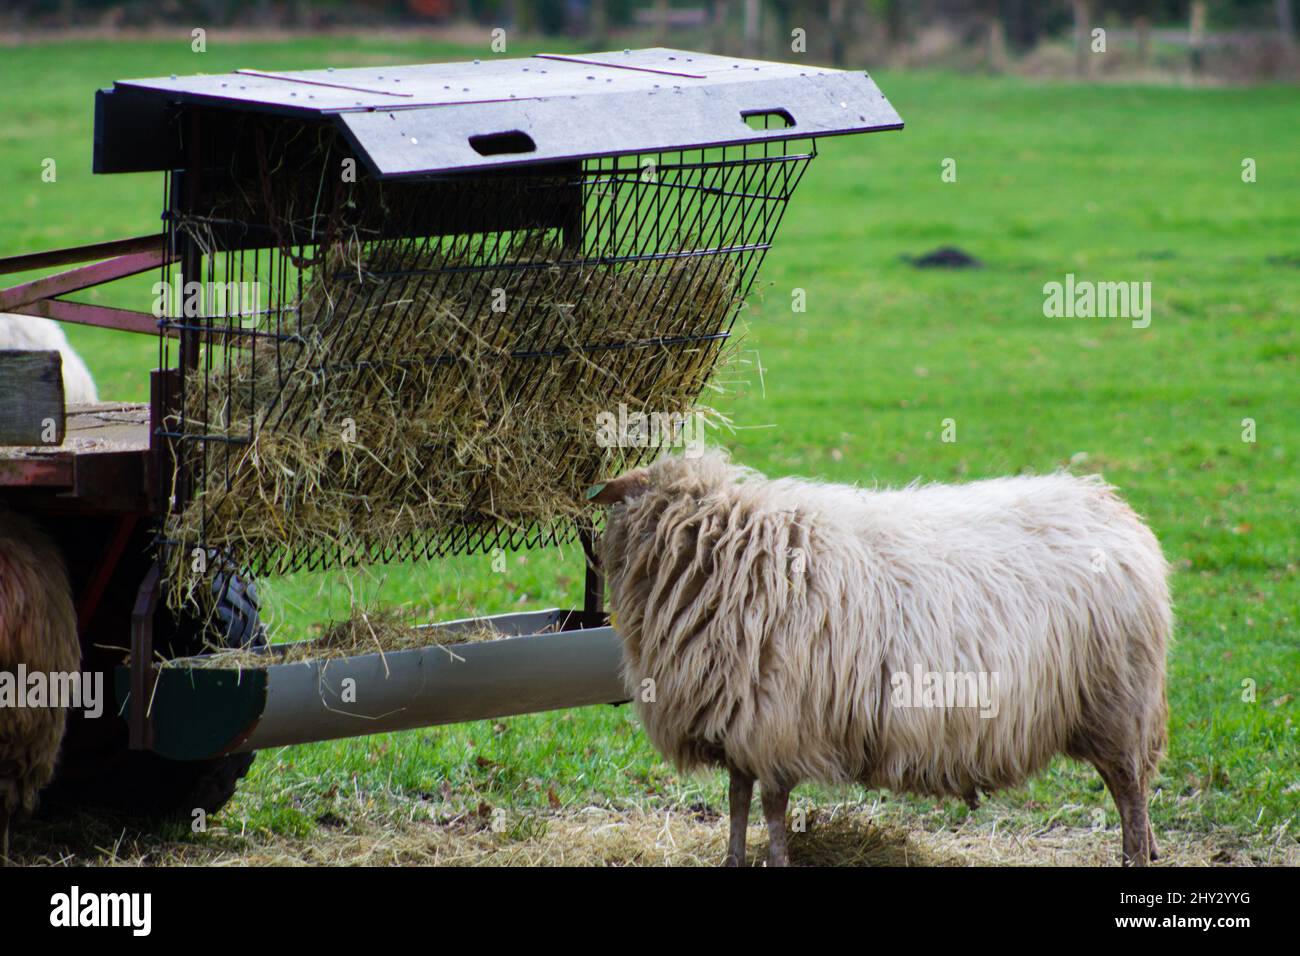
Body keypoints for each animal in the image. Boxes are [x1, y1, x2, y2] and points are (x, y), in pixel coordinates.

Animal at [591, 450, 1170, 867]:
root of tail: (1117, 512)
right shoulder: (740, 726)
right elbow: (737, 798)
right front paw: (733, 860)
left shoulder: (778, 726)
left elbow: (773, 810)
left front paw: (775, 859)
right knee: (1133, 789)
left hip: (1119, 703)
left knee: (1130, 790)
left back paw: (1134, 857)